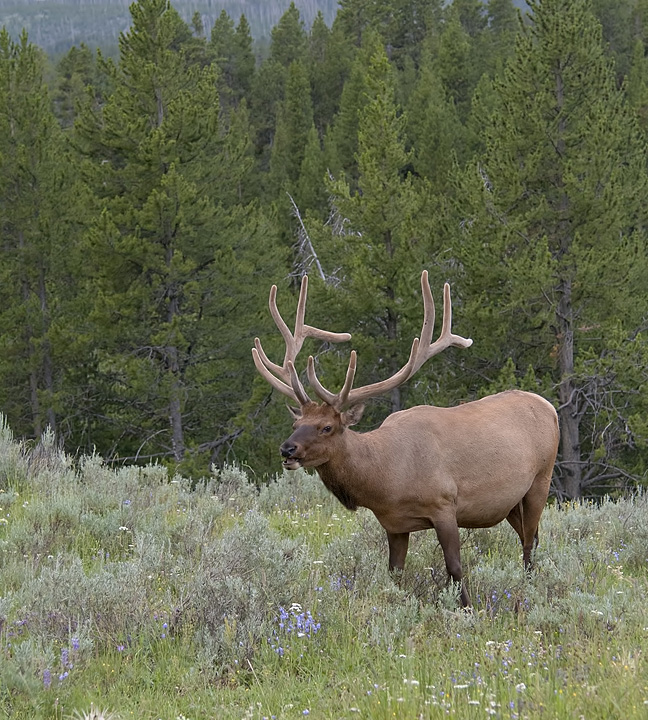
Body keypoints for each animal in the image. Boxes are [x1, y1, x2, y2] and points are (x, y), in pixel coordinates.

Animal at [252, 271, 560, 607]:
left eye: (327, 427)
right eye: (297, 422)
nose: (287, 449)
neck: (387, 479)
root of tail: (550, 407)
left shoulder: (444, 504)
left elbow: (455, 567)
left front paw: (467, 608)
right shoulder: (393, 523)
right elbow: (395, 574)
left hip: (540, 480)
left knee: (529, 543)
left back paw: (527, 591)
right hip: (511, 503)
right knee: (532, 537)